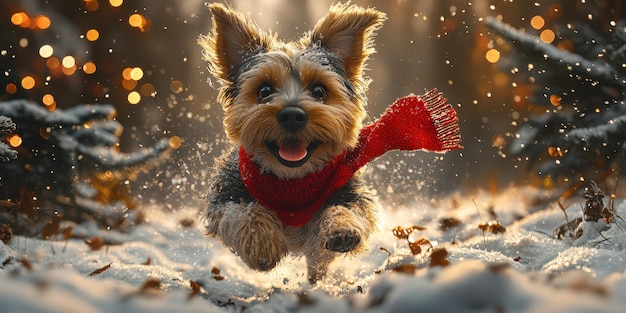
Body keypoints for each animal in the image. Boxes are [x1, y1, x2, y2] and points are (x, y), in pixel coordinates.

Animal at [197, 1, 460, 282]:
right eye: (264, 90)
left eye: (319, 91)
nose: (292, 115)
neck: (292, 184)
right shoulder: (226, 196)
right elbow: (243, 212)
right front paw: (262, 245)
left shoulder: (344, 187)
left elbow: (347, 210)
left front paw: (342, 230)